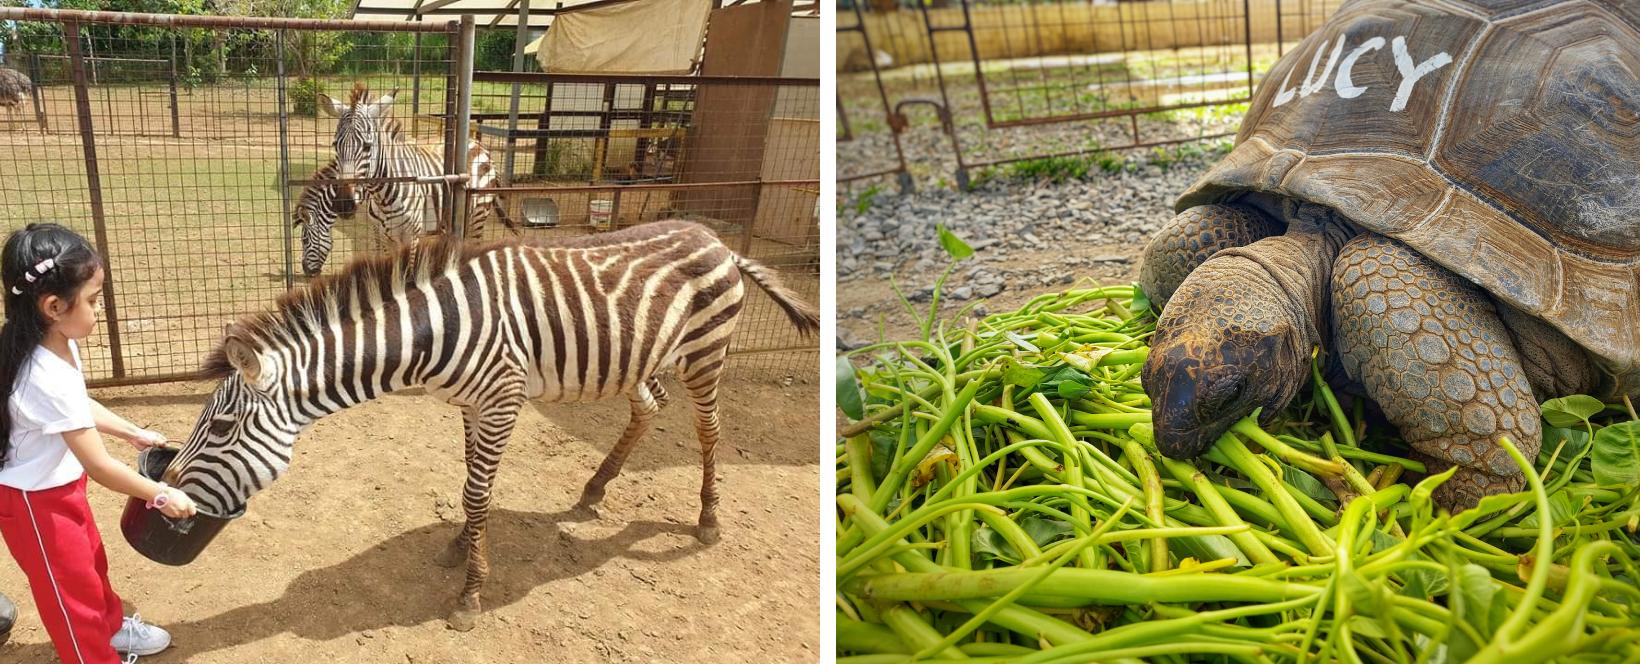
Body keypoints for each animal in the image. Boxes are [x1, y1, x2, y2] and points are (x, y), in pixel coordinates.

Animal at [166, 219, 820, 629]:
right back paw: (594, 489)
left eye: (220, 427)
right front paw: (461, 545)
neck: (432, 333)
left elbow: (478, 491)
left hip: (706, 353)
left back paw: (707, 519)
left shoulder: (503, 398)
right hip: (641, 357)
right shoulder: (469, 404)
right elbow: (467, 483)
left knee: (710, 433)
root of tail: (718, 240)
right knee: (648, 409)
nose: (167, 491)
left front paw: (470, 593)